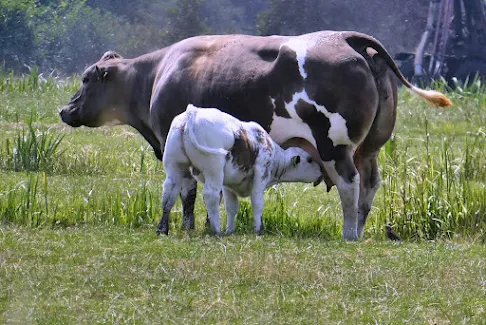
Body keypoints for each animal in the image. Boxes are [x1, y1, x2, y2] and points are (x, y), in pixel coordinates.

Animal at [159, 105, 324, 234]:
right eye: (310, 160)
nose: (322, 173)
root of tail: (193, 111)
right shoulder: (260, 175)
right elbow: (257, 203)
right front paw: (258, 229)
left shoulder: (228, 184)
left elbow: (232, 207)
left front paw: (230, 230)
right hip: (214, 170)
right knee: (211, 196)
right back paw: (216, 230)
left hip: (174, 167)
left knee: (169, 193)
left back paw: (162, 229)